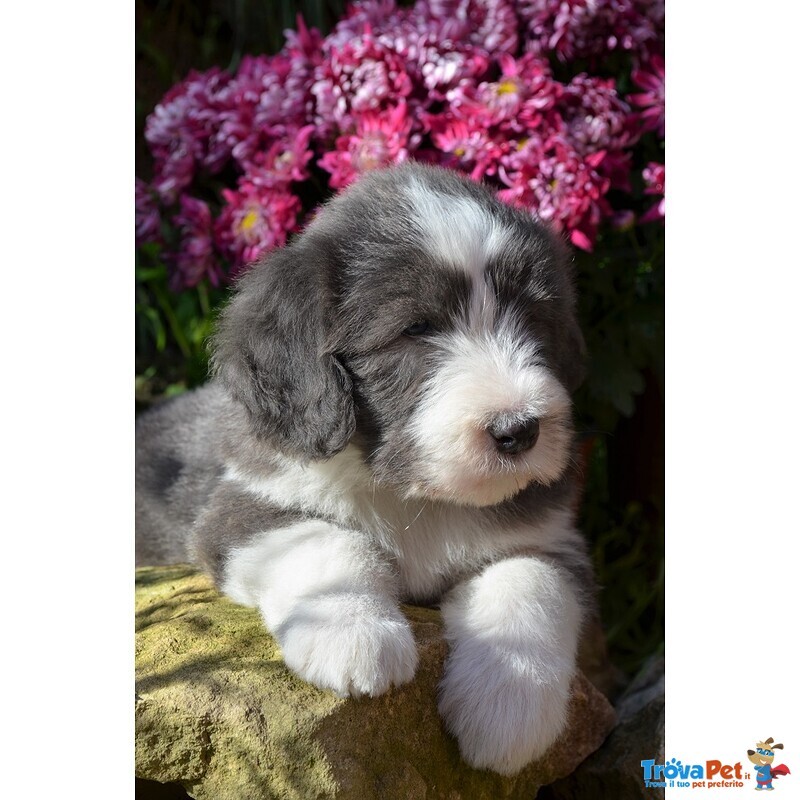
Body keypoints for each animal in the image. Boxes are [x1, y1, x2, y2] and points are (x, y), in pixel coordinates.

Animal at [134, 161, 592, 776]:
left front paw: (509, 703)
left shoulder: (551, 537)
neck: (414, 498)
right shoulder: (239, 510)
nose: (519, 429)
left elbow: (531, 582)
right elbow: (326, 542)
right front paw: (353, 634)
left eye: (534, 319)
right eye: (415, 329)